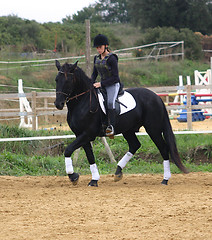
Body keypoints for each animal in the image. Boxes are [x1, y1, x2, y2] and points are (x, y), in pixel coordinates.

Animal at [53, 60, 188, 188]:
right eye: (56, 79)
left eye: (68, 80)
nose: (58, 104)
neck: (83, 102)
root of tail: (156, 97)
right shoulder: (81, 135)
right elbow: (90, 156)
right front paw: (93, 180)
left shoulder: (87, 134)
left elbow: (68, 150)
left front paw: (73, 176)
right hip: (128, 130)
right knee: (135, 145)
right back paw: (118, 172)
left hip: (153, 129)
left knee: (163, 149)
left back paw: (165, 179)